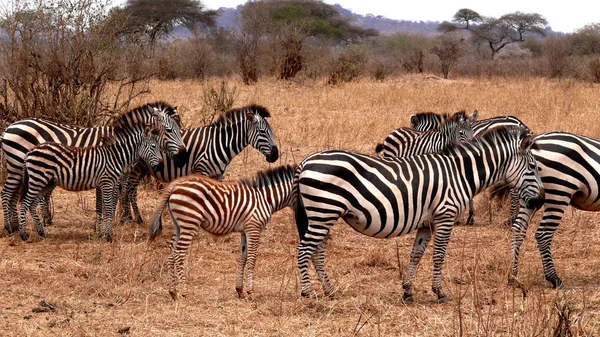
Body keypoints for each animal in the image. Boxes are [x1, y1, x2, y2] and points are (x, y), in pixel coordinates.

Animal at [0, 102, 188, 232]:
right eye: (170, 130)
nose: (184, 155)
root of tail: (9, 127)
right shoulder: (106, 172)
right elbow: (109, 200)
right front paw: (105, 225)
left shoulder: (114, 173)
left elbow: (115, 197)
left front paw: (108, 223)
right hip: (17, 164)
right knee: (7, 193)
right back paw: (10, 227)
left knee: (15, 195)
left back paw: (16, 225)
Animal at [118, 103, 280, 224]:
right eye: (263, 132)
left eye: (271, 131)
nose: (275, 155)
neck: (220, 142)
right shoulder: (202, 170)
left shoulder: (218, 174)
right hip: (135, 168)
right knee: (128, 189)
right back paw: (129, 218)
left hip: (140, 169)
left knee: (129, 189)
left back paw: (131, 217)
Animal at [146, 164, 294, 298]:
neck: (265, 199)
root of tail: (174, 185)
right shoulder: (254, 228)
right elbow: (252, 258)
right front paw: (250, 292)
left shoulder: (244, 231)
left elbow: (243, 256)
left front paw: (240, 290)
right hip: (190, 222)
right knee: (179, 254)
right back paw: (184, 293)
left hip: (179, 225)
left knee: (171, 254)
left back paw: (173, 292)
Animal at [294, 124, 544, 300]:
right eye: (533, 167)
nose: (541, 201)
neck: (460, 174)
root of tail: (305, 162)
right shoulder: (445, 216)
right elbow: (439, 255)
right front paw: (439, 292)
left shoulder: (427, 223)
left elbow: (416, 254)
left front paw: (407, 290)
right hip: (323, 211)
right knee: (305, 250)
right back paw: (308, 293)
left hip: (323, 214)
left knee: (317, 251)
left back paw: (329, 290)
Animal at [506, 133, 600, 288]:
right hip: (559, 191)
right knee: (543, 234)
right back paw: (554, 279)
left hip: (529, 196)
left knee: (517, 230)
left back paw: (513, 276)